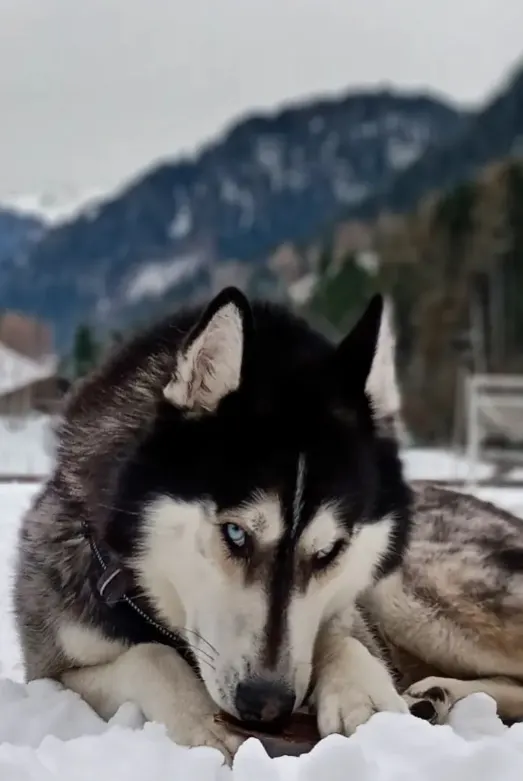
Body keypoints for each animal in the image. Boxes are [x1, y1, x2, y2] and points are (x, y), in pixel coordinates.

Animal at [13, 286, 523, 756]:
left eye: (330, 552)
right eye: (236, 533)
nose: (267, 705)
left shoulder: (346, 609)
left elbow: (340, 635)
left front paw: (364, 696)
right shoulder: (52, 672)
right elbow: (150, 656)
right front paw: (202, 721)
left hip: (402, 590)